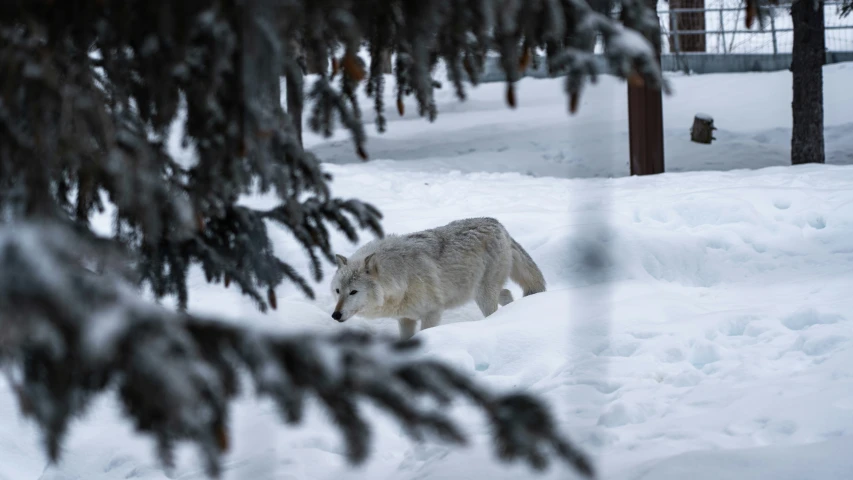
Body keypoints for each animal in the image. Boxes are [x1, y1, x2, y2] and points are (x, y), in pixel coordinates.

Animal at [328, 218, 544, 342]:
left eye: (353, 292)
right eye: (338, 291)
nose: (335, 315)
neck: (400, 276)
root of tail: (498, 224)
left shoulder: (432, 313)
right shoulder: (405, 318)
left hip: (483, 295)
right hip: (482, 291)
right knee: (507, 294)